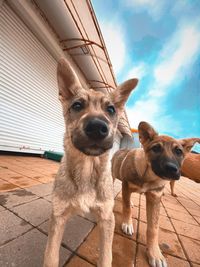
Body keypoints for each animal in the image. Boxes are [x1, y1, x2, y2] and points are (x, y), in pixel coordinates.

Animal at [43, 58, 138, 267]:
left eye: (111, 109)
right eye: (77, 106)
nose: (97, 127)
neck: (86, 169)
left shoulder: (107, 219)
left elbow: (106, 256)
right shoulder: (58, 217)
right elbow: (51, 256)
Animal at [111, 122, 199, 267]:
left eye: (179, 151)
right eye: (156, 148)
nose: (172, 169)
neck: (148, 176)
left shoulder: (155, 197)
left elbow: (153, 228)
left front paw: (155, 254)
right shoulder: (126, 185)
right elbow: (126, 208)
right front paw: (127, 224)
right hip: (113, 175)